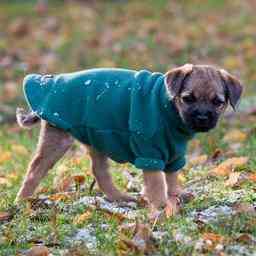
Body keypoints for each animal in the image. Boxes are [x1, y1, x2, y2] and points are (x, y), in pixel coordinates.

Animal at [15, 64, 243, 212]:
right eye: (188, 99)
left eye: (217, 102)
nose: (202, 116)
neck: (169, 108)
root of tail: (51, 81)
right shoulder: (150, 156)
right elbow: (157, 184)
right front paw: (161, 206)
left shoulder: (174, 155)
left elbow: (171, 178)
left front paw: (175, 195)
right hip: (58, 140)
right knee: (34, 171)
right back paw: (22, 202)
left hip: (97, 136)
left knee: (100, 172)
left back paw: (120, 198)